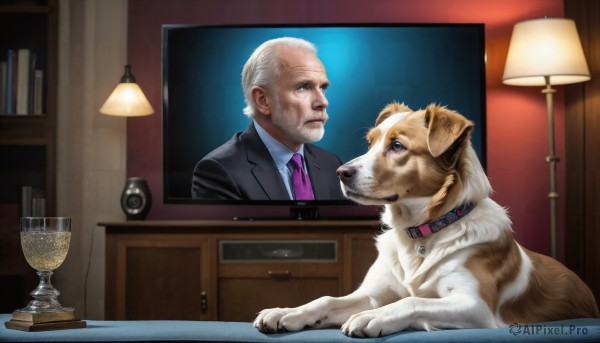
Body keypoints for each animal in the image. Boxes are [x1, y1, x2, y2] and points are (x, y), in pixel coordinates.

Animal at [254, 102, 600, 338]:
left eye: (397, 146)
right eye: (371, 143)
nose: (341, 172)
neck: (419, 233)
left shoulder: (476, 306)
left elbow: (411, 302)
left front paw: (371, 318)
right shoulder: (374, 294)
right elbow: (326, 298)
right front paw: (287, 312)